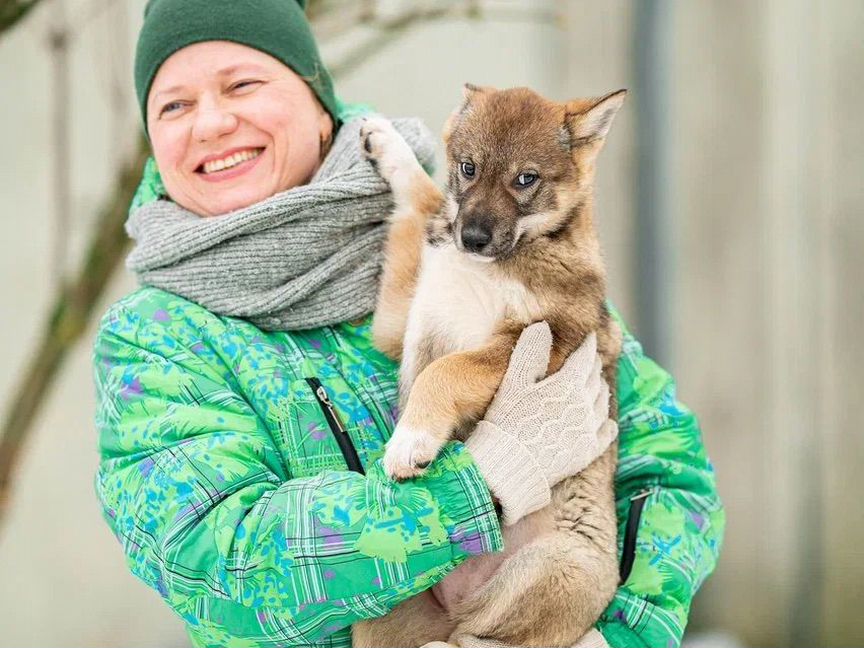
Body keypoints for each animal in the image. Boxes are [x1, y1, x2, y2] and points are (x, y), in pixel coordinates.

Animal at [352, 86, 628, 648]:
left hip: (554, 566)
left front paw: (411, 441)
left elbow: (445, 372)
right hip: (378, 613)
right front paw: (387, 143)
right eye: (468, 168)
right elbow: (421, 202)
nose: (473, 238)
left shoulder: (539, 343)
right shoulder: (403, 318)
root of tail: (456, 599)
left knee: (478, 637)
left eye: (526, 179)